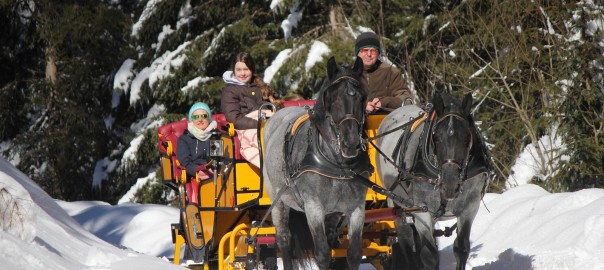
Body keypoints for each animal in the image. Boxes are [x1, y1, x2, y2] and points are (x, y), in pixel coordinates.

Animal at [264, 57, 372, 270]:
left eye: (362, 98)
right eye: (333, 98)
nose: (351, 143)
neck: (338, 165)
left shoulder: (356, 206)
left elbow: (354, 253)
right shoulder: (313, 207)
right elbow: (322, 254)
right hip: (278, 200)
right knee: (284, 239)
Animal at [378, 92, 490, 268]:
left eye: (467, 137)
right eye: (436, 137)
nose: (450, 185)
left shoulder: (470, 207)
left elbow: (461, 249)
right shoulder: (422, 210)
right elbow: (430, 256)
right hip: (396, 204)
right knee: (406, 242)